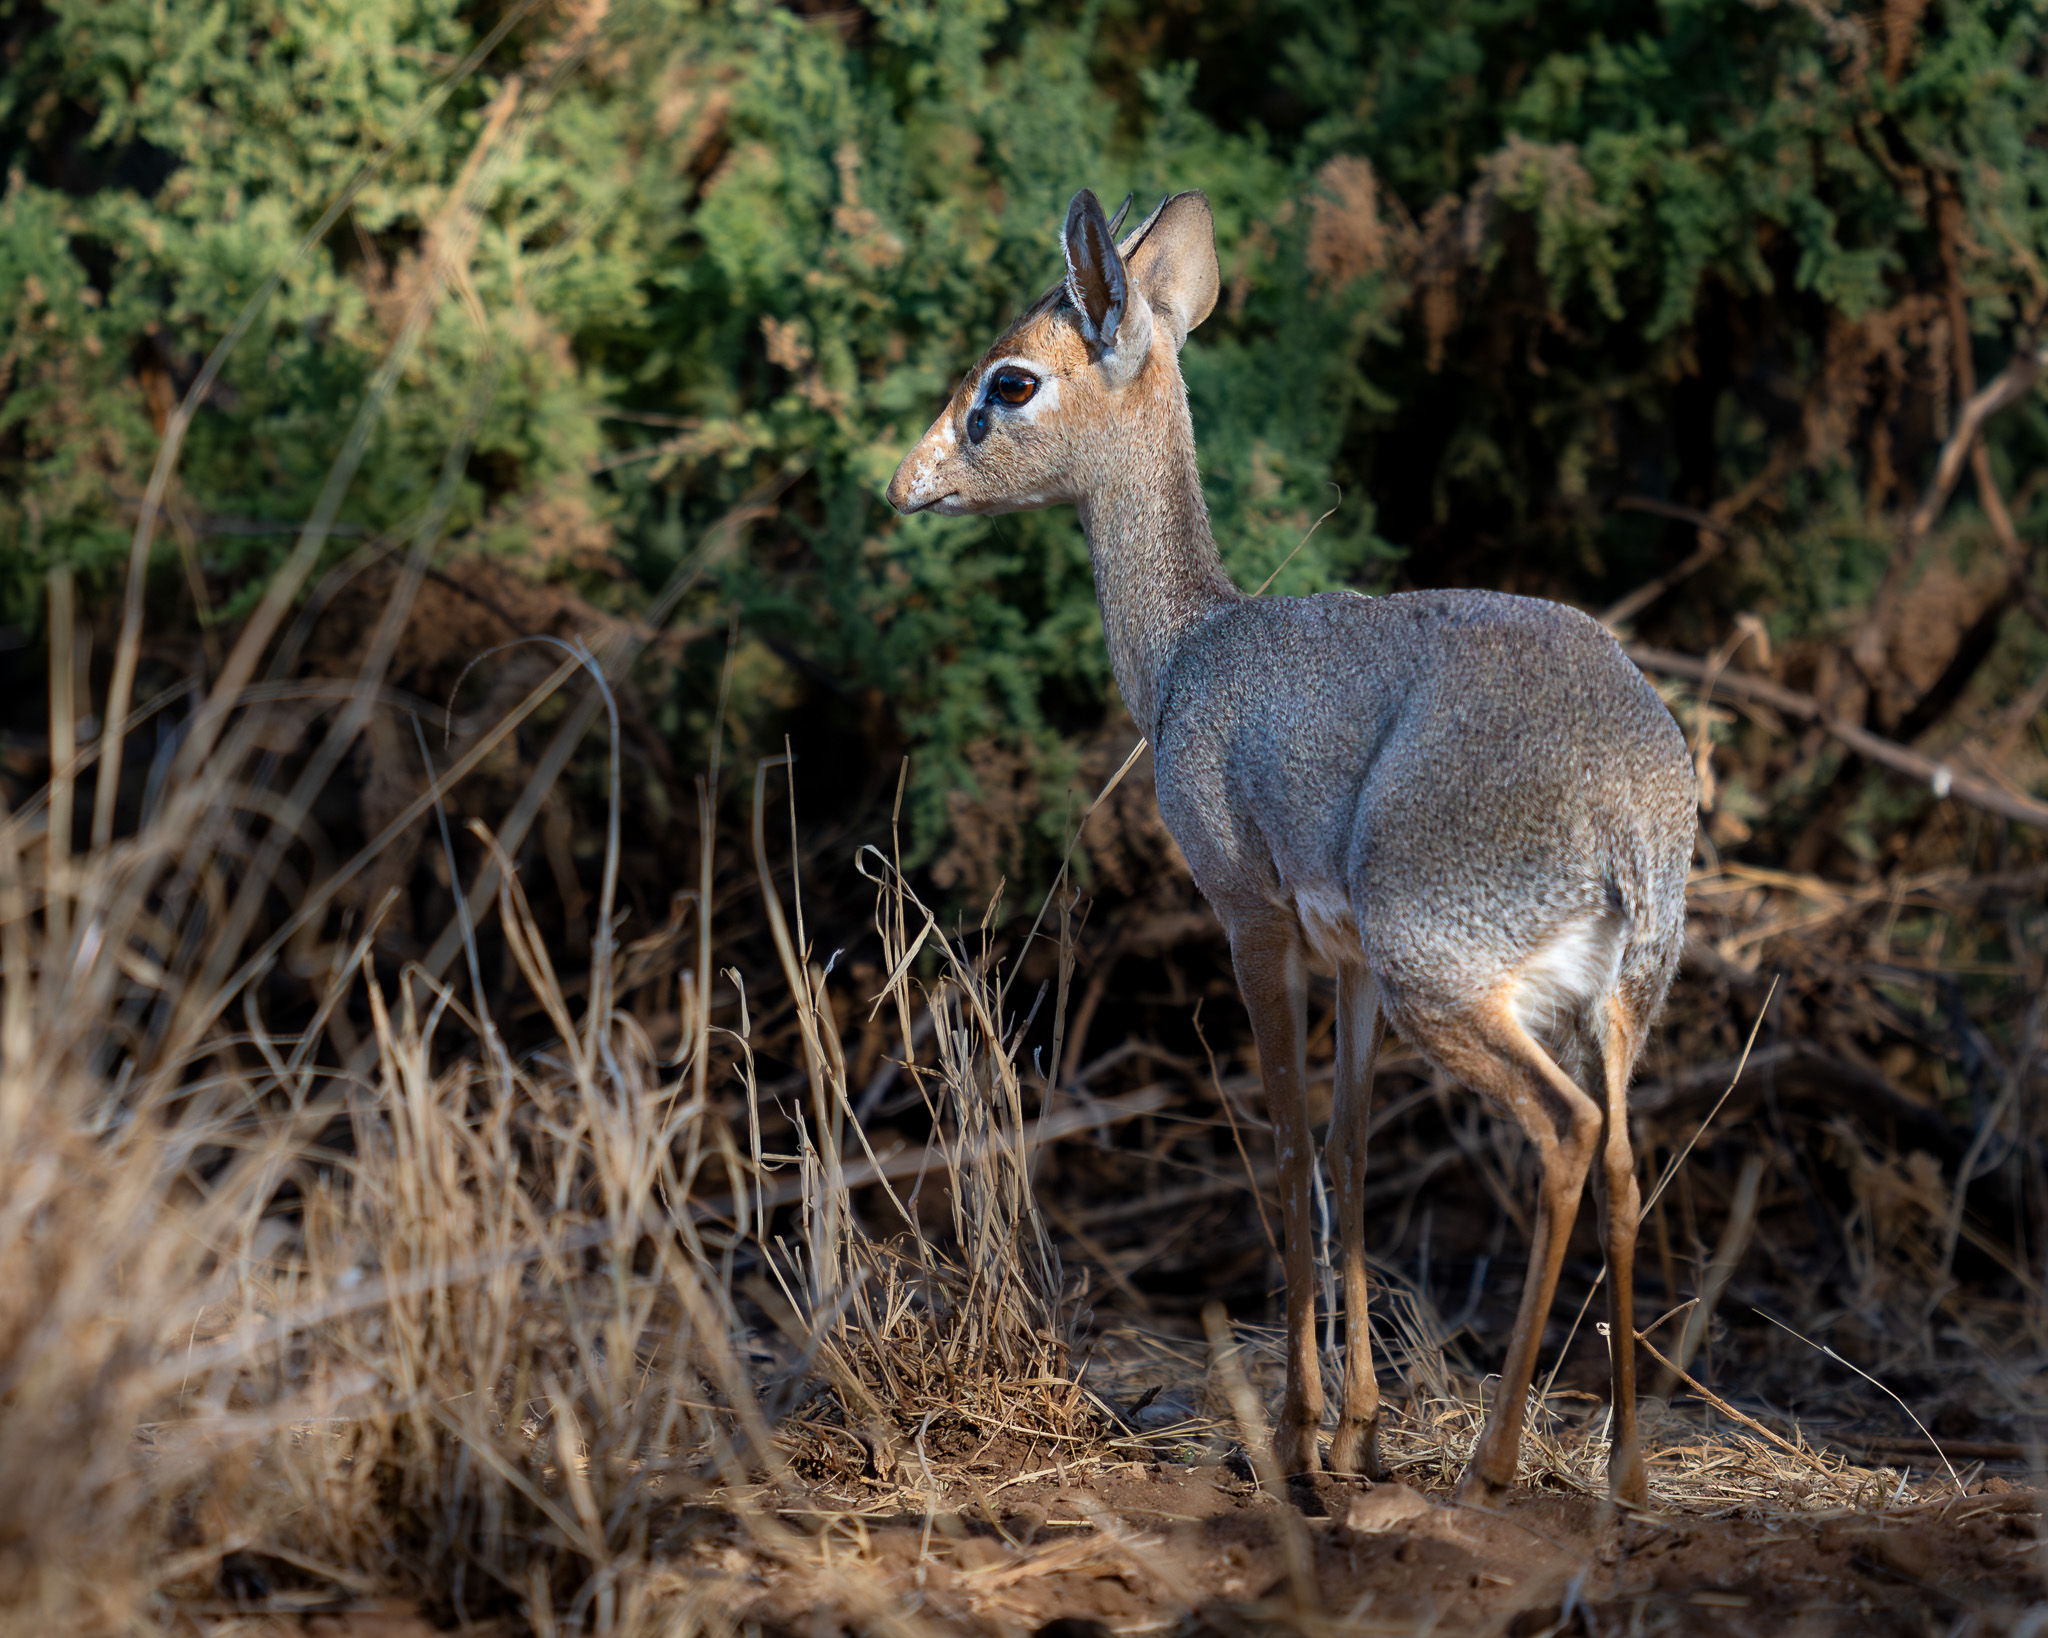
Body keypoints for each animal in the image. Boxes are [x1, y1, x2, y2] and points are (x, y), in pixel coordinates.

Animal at [885, 187, 1696, 1506]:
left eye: (1009, 380)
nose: (908, 483)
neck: (1188, 652)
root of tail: (1625, 802)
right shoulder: (1351, 965)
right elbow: (1349, 1161)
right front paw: (1360, 1431)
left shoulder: (1250, 920)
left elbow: (1281, 1151)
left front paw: (1299, 1438)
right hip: (1611, 999)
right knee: (1624, 1157)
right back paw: (1621, 1472)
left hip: (1452, 986)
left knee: (1565, 1133)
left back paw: (1491, 1464)